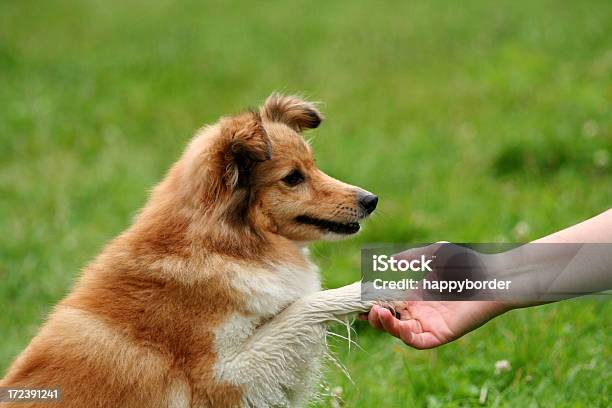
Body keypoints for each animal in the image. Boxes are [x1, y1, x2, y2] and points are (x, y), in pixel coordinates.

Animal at [1, 94, 378, 406]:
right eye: (293, 178)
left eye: (313, 165)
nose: (371, 200)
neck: (219, 247)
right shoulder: (224, 378)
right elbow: (303, 308)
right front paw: (372, 290)